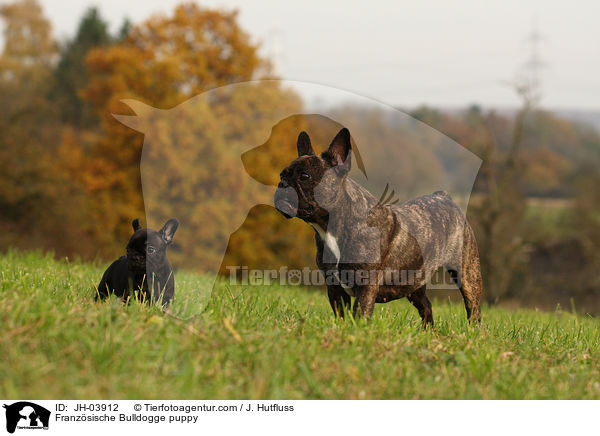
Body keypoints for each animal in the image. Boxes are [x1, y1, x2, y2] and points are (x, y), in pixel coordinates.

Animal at [276, 129, 482, 328]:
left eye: (304, 176)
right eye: (281, 175)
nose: (281, 184)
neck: (332, 227)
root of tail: (443, 196)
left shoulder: (365, 286)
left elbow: (359, 314)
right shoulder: (334, 288)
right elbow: (341, 315)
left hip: (467, 274)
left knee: (473, 308)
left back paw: (473, 331)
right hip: (414, 283)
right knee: (426, 307)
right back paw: (428, 332)